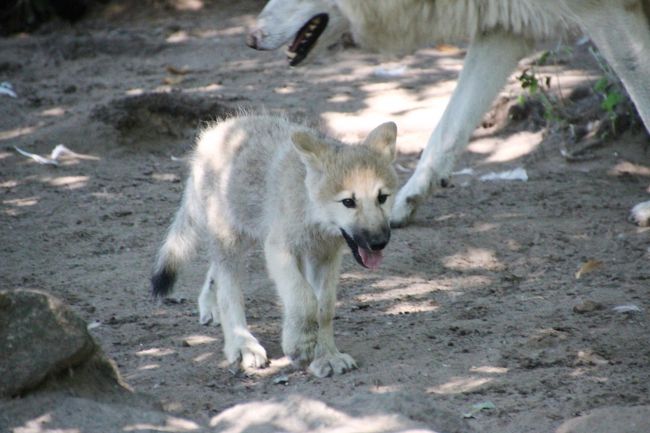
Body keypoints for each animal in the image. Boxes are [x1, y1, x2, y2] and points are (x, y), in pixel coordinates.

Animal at [150, 114, 398, 374]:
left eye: (382, 198)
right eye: (348, 202)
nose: (379, 242)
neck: (309, 208)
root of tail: (215, 131)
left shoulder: (325, 257)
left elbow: (324, 307)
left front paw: (327, 355)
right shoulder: (279, 250)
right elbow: (304, 298)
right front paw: (299, 345)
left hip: (251, 235)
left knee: (214, 271)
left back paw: (210, 307)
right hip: (232, 240)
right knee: (228, 292)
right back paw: (242, 345)